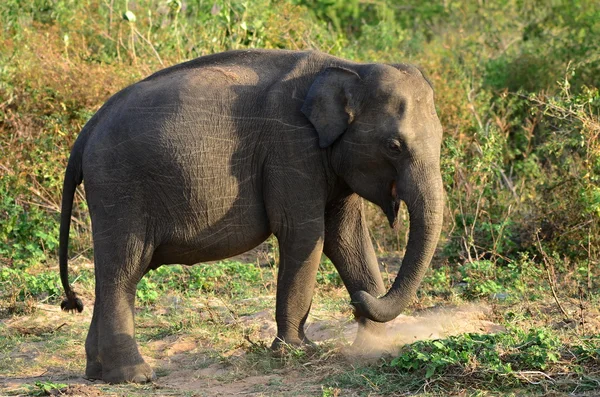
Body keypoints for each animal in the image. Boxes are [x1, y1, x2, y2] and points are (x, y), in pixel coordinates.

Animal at [59, 48, 446, 382]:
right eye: (394, 146)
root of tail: (86, 132)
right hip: (119, 186)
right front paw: (296, 352)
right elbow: (305, 234)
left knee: (113, 273)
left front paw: (372, 345)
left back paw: (98, 372)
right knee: (123, 269)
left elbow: (347, 238)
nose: (357, 303)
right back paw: (135, 376)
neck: (352, 68)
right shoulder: (291, 148)